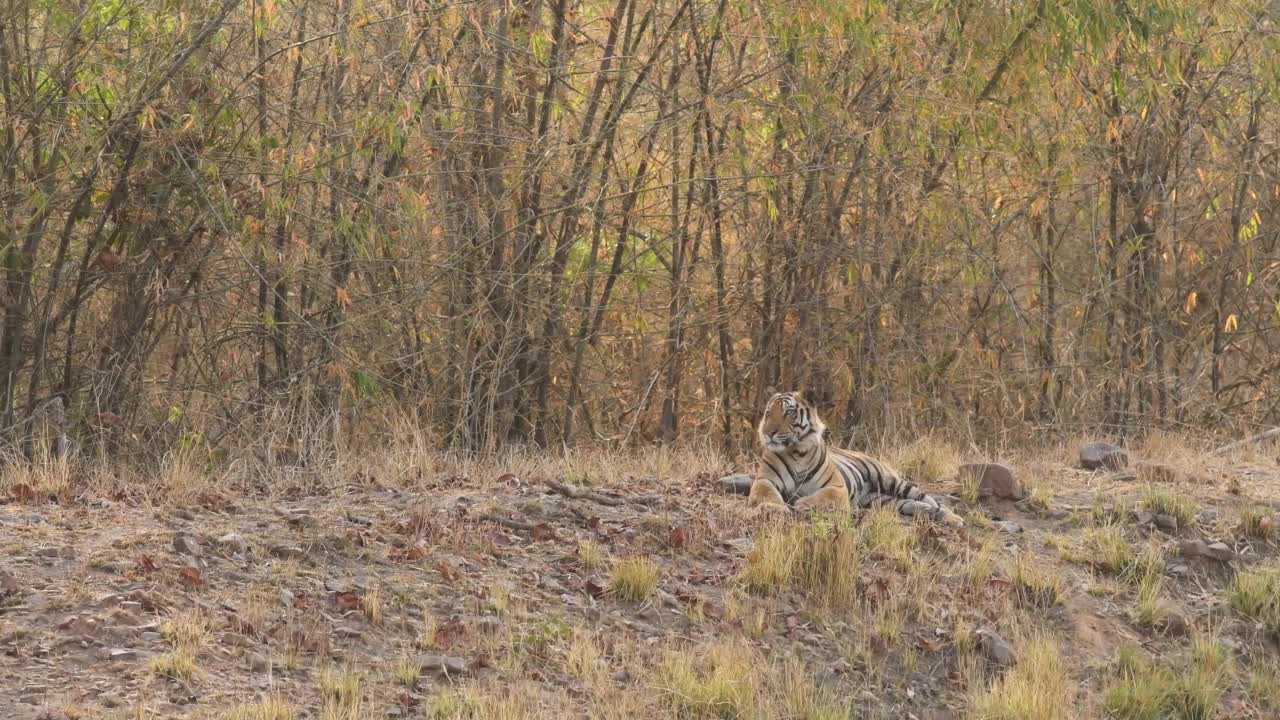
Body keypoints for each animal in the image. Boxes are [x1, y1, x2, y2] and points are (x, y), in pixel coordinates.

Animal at [747, 389, 962, 525]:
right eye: (768, 413)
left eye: (789, 413)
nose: (768, 433)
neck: (797, 451)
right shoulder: (764, 480)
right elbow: (767, 493)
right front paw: (775, 508)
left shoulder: (836, 487)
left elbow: (822, 497)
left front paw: (801, 504)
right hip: (881, 501)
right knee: (912, 504)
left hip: (893, 481)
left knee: (929, 499)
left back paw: (953, 518)